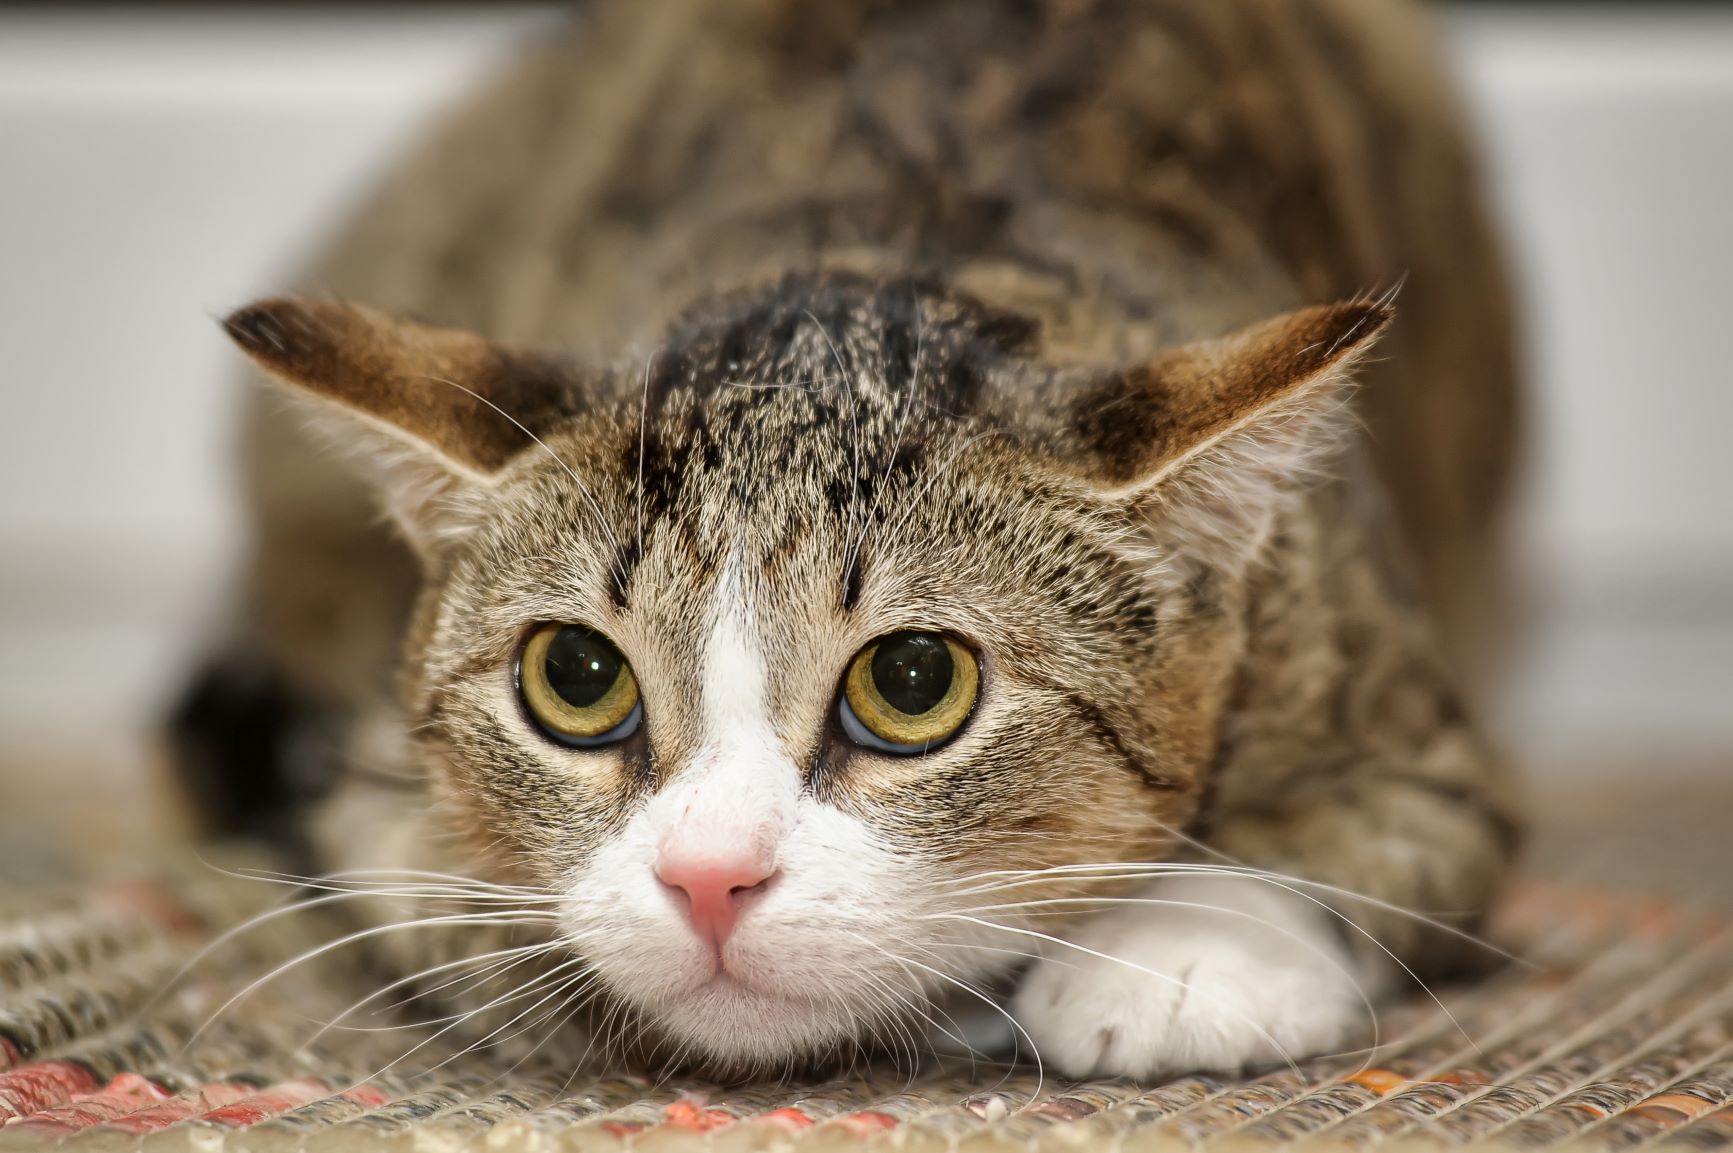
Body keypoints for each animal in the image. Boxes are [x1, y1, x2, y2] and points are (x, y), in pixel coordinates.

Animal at [168, 0, 1525, 1081]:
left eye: (914, 681)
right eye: (575, 675)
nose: (709, 877)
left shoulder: (1402, 715)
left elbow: (1377, 841)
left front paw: (1178, 953)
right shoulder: (369, 788)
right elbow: (423, 889)